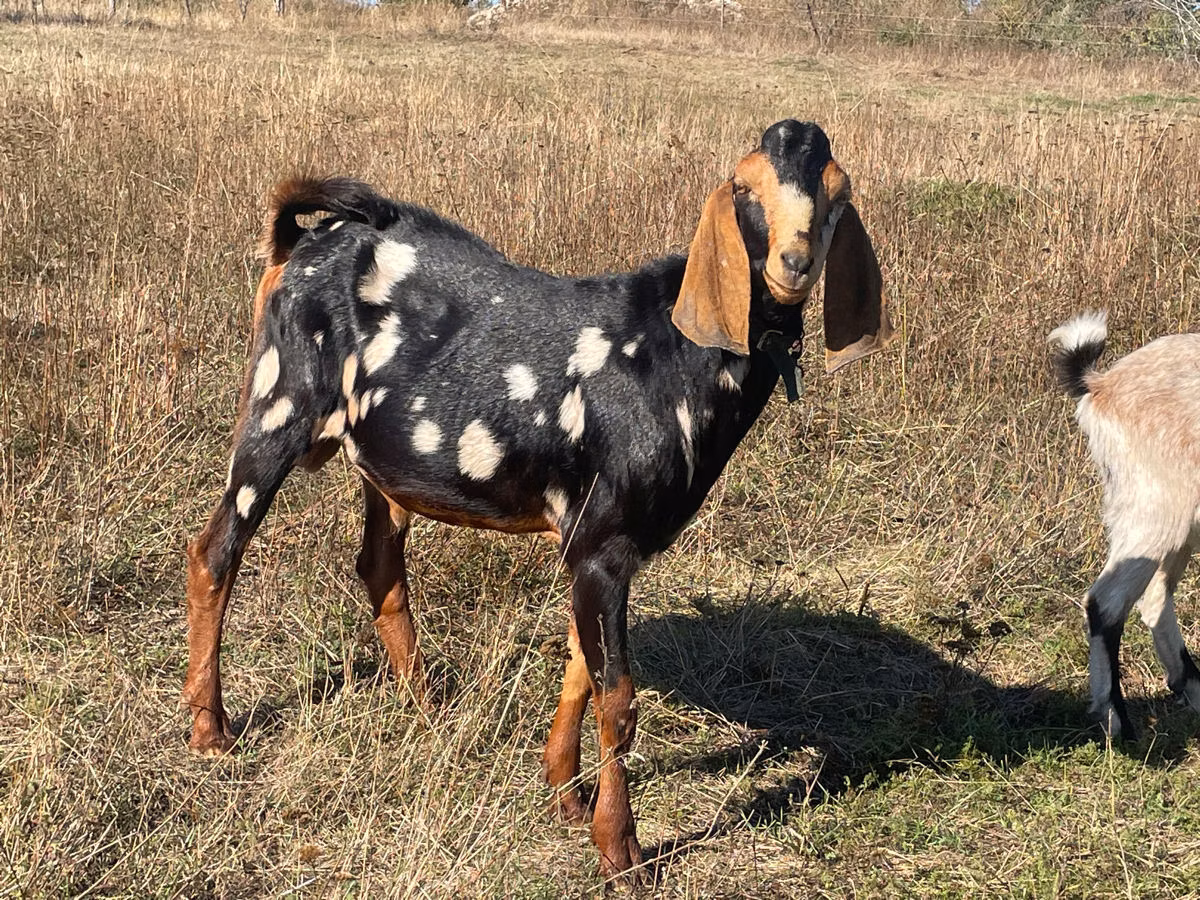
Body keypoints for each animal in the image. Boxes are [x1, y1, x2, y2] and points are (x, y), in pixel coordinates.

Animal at [183, 119, 894, 880]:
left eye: (838, 193)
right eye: (744, 188)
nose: (793, 264)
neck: (674, 354)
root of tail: (302, 241)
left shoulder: (602, 547)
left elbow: (583, 669)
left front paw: (566, 796)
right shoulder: (604, 545)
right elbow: (619, 700)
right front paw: (621, 848)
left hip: (381, 459)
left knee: (377, 565)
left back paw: (428, 707)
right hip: (277, 404)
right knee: (215, 550)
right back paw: (210, 730)